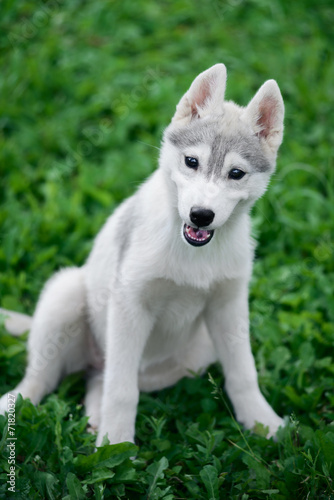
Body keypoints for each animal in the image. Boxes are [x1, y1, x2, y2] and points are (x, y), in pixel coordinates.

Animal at [1, 64, 286, 444]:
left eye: (236, 173)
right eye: (191, 161)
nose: (201, 215)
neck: (190, 252)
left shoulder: (229, 305)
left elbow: (243, 372)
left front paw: (263, 422)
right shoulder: (129, 304)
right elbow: (122, 390)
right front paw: (118, 445)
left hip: (195, 353)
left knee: (98, 378)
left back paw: (95, 417)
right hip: (65, 294)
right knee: (44, 378)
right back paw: (16, 403)